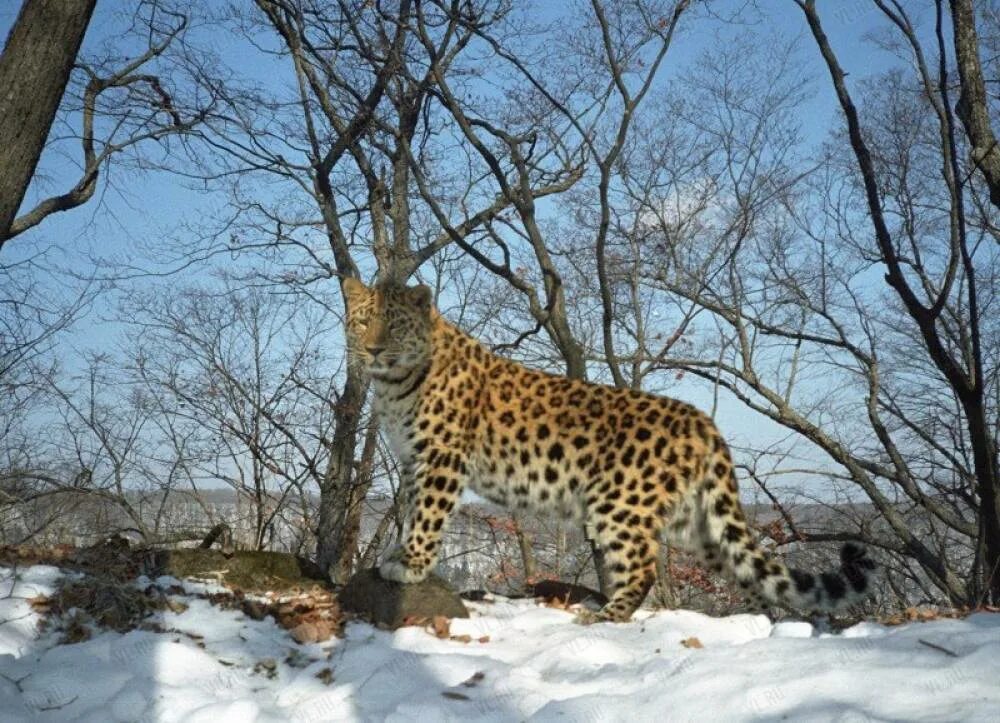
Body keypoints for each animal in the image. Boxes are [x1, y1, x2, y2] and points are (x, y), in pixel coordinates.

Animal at [344, 278, 876, 624]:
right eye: (363, 322)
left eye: (395, 327)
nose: (372, 351)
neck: (392, 385)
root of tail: (703, 423)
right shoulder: (412, 461)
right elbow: (412, 510)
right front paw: (400, 554)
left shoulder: (440, 458)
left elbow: (428, 515)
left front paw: (411, 564)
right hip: (696, 522)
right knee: (741, 569)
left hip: (620, 504)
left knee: (642, 567)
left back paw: (606, 616)